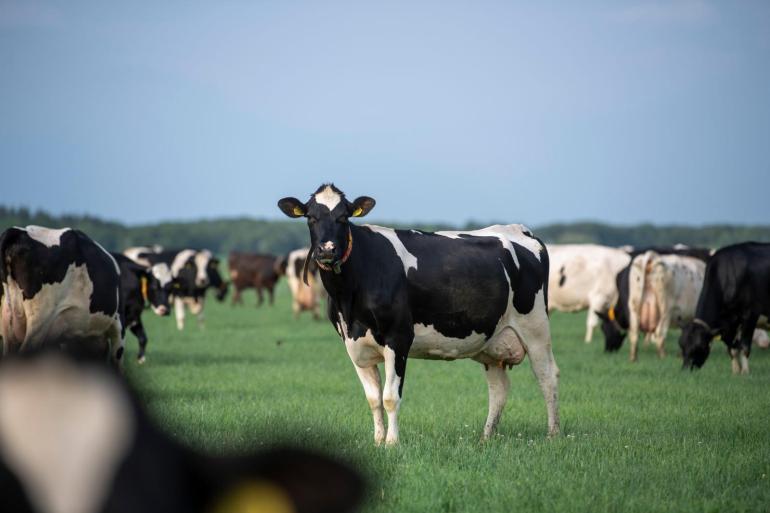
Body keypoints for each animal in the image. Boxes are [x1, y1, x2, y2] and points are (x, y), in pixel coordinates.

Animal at [276, 184, 560, 444]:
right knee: (499, 388)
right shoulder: (353, 345)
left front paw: (392, 443)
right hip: (492, 340)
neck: (349, 298)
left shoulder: (398, 338)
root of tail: (519, 229)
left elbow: (390, 397)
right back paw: (486, 438)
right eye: (310, 217)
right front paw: (377, 441)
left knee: (547, 376)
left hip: (535, 327)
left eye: (344, 217)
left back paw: (552, 433)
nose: (327, 250)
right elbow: (373, 399)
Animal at [680, 242, 768, 374]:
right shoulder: (729, 323)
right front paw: (736, 372)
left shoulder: (751, 313)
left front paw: (745, 372)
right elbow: (732, 348)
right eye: (681, 345)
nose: (685, 370)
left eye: (700, 347)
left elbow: (744, 346)